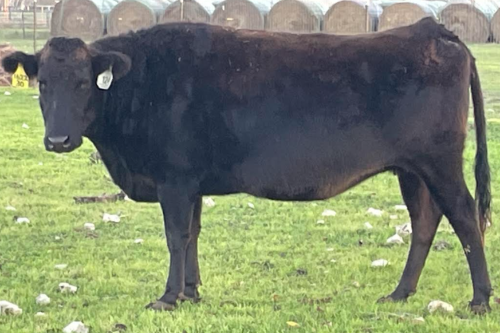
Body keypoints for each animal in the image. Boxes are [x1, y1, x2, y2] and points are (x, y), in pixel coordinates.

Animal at [0, 16, 492, 312]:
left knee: (466, 218)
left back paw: (481, 300)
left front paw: (168, 297)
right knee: (426, 221)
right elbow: (193, 233)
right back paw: (399, 293)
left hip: (440, 162)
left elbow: (176, 236)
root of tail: (433, 31)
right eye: (43, 84)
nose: (58, 140)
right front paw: (192, 293)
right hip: (412, 170)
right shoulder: (191, 183)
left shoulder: (174, 179)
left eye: (84, 83)